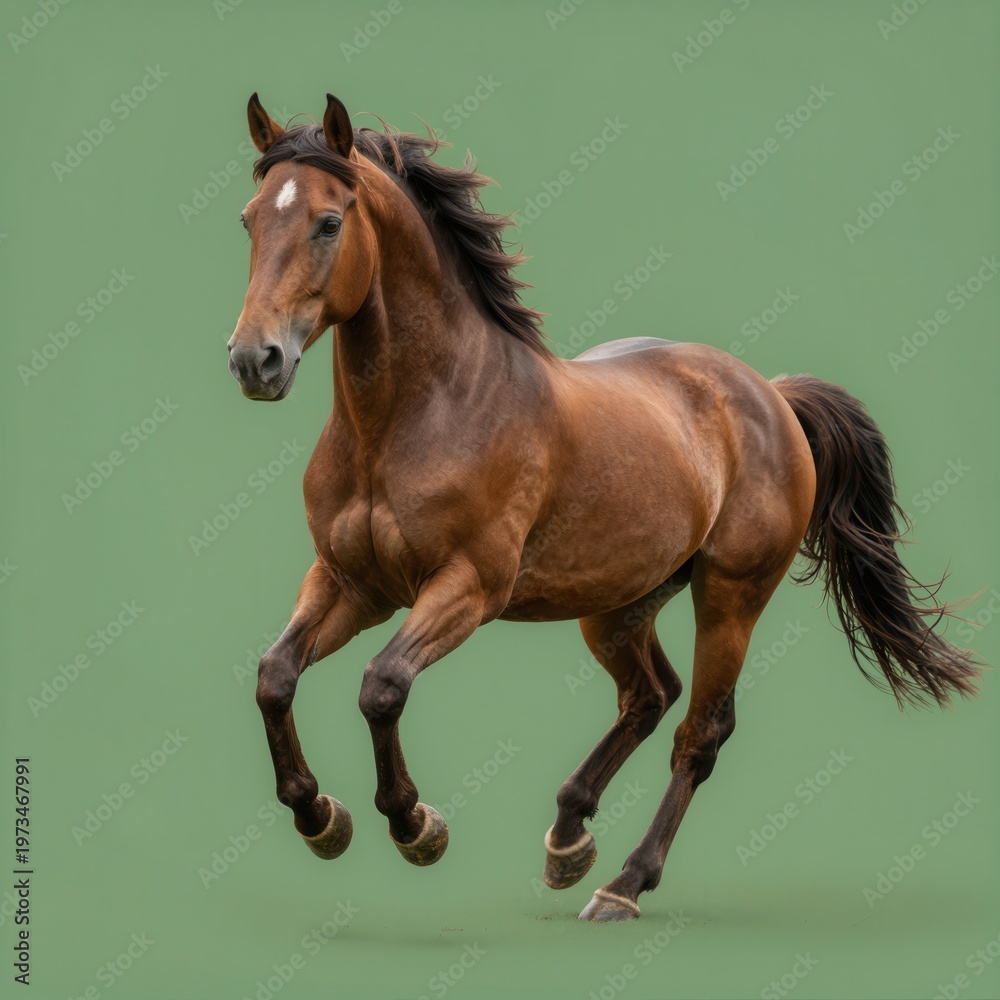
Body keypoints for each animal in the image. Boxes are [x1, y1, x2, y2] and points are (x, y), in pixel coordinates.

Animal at [226, 92, 982, 921]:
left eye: (329, 222)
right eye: (250, 218)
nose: (255, 360)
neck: (413, 416)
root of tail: (771, 395)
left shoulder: (467, 588)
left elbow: (382, 687)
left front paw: (416, 827)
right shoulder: (352, 583)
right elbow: (274, 675)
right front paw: (319, 818)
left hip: (730, 596)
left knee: (700, 730)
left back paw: (622, 885)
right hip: (618, 602)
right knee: (649, 696)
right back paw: (567, 839)